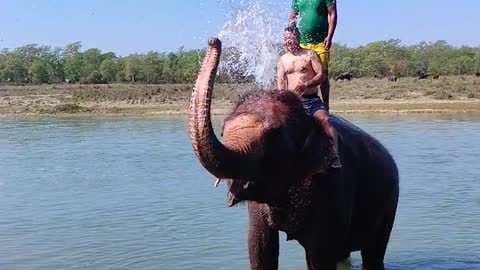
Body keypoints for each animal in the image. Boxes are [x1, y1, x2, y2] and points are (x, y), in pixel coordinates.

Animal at [189, 38, 400, 270]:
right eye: (223, 130)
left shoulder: (333, 184)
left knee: (373, 252)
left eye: (274, 133)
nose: (214, 40)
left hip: (390, 202)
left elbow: (319, 255)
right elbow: (260, 249)